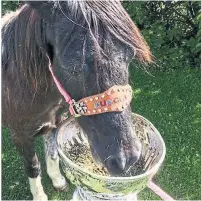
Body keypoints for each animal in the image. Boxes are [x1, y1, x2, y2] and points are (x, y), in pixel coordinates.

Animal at [1, 1, 152, 199]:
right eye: (73, 68)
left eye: (130, 56)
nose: (126, 159)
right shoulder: (21, 136)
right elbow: (33, 166)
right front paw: (40, 196)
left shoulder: (55, 124)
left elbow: (52, 153)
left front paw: (57, 180)